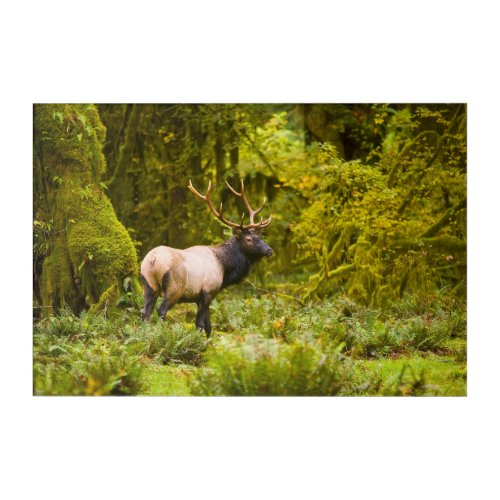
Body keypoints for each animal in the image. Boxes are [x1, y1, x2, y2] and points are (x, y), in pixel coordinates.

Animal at [140, 180, 274, 336]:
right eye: (249, 239)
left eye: (259, 236)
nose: (269, 250)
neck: (224, 267)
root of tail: (152, 260)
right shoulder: (208, 291)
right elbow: (200, 324)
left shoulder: (201, 297)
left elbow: (209, 326)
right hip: (174, 288)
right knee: (161, 310)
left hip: (148, 284)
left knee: (145, 313)